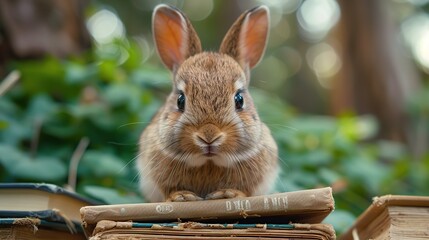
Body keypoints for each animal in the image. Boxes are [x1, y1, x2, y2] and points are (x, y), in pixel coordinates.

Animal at [136, 4, 278, 202]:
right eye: (180, 100)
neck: (208, 162)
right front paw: (181, 196)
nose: (209, 135)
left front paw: (228, 194)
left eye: (239, 100)